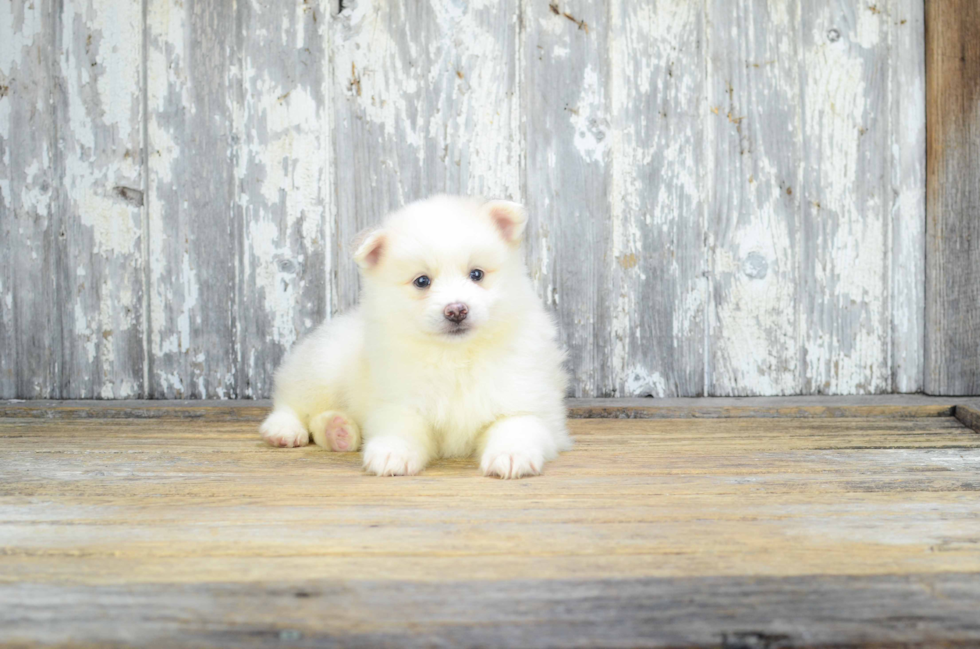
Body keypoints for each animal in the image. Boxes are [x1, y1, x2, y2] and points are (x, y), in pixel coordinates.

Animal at [260, 195, 572, 478]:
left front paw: (511, 454)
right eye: (422, 281)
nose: (456, 310)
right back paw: (284, 429)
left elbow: (518, 427)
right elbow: (400, 428)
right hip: (323, 367)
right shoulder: (400, 402)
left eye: (477, 274)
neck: (455, 356)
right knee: (291, 401)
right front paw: (391, 452)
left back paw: (339, 431)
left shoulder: (527, 403)